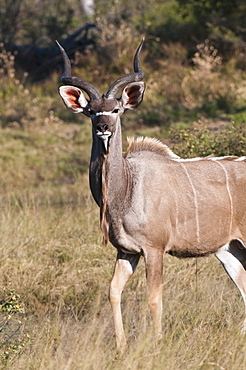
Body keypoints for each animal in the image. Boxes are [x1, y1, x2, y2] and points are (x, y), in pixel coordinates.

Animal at [57, 39, 246, 350]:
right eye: (91, 111)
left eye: (117, 109)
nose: (103, 128)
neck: (126, 189)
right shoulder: (126, 251)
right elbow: (113, 291)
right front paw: (121, 346)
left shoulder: (154, 249)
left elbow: (154, 298)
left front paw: (157, 343)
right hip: (229, 249)